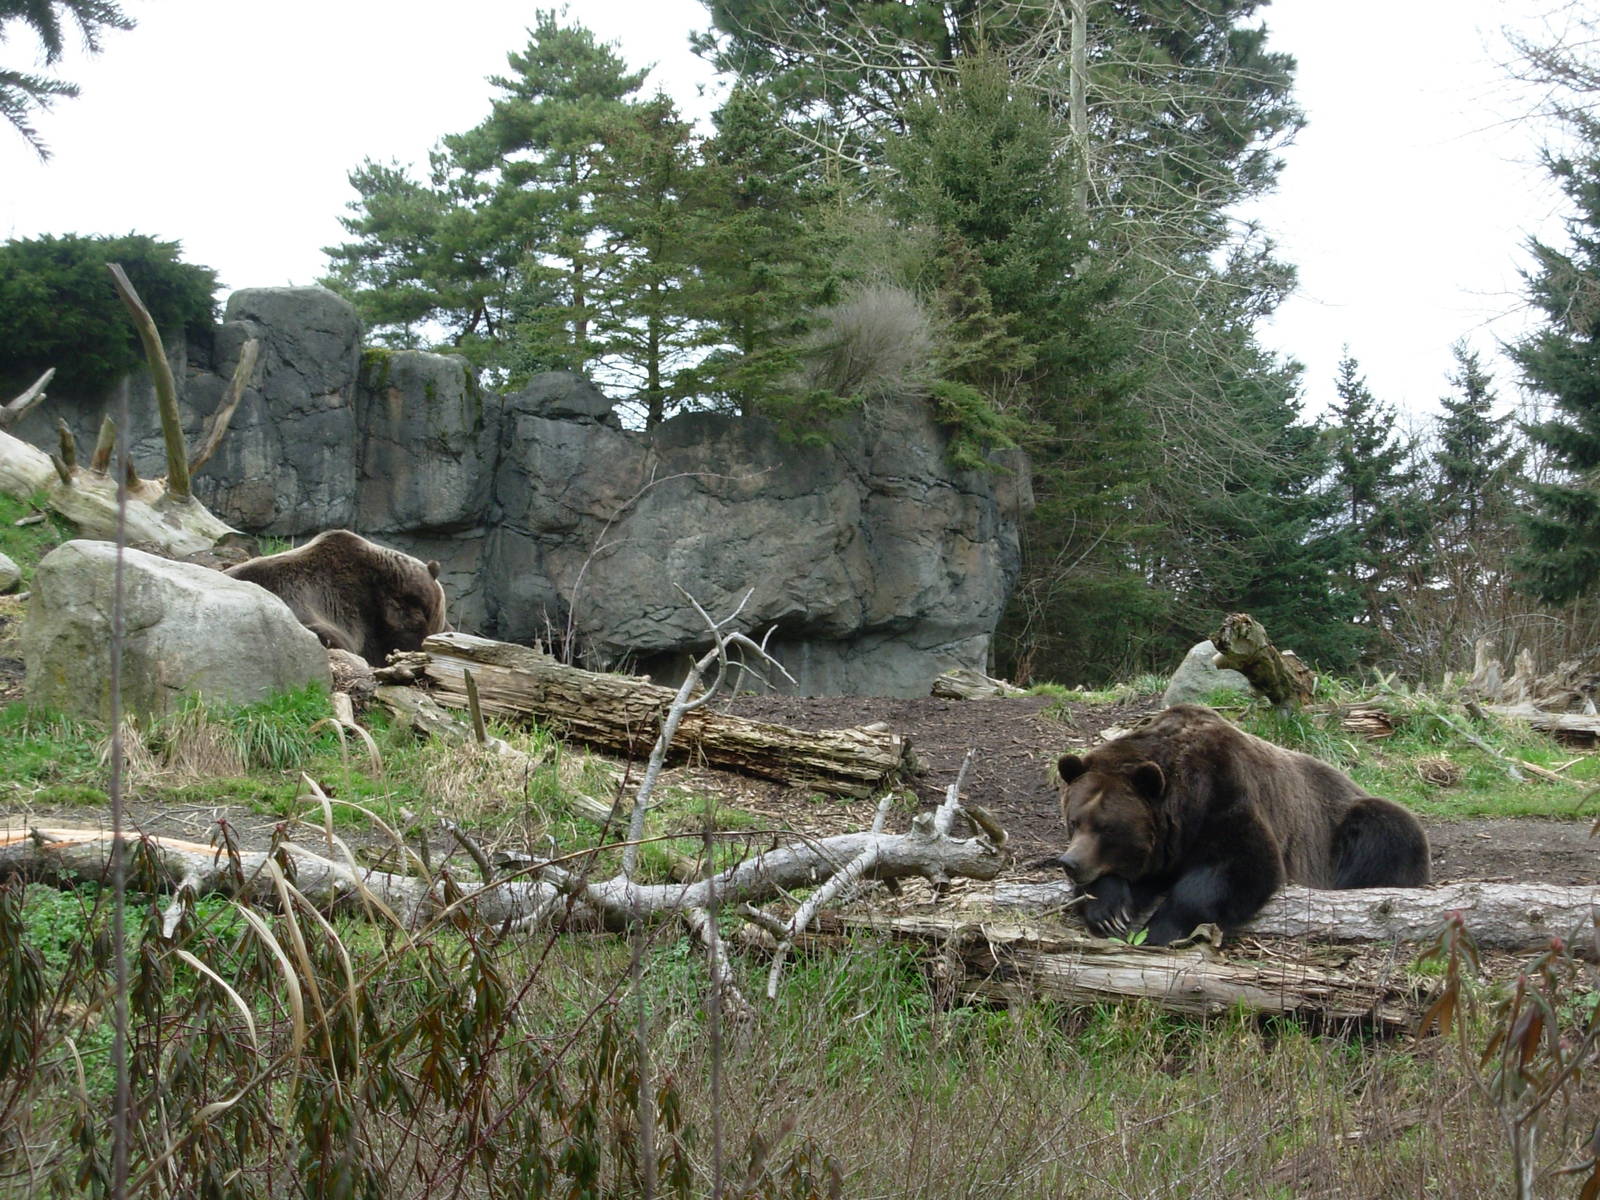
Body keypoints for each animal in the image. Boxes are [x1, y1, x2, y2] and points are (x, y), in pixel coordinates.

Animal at [1046, 704, 1430, 946]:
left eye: (1108, 828)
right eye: (1075, 821)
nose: (1070, 863)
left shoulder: (1225, 796)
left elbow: (1240, 866)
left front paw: (1162, 930)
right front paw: (1108, 910)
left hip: (1347, 822)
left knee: (1386, 828)